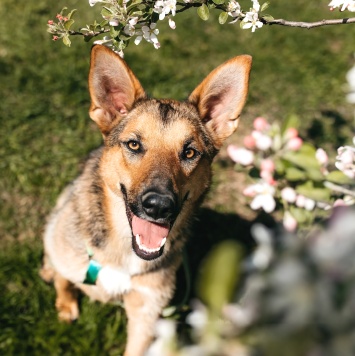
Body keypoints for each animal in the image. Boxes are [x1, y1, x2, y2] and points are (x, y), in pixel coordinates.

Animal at [41, 45, 253, 356]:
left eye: (190, 152)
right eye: (134, 144)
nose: (159, 206)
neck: (124, 252)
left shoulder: (147, 311)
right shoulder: (67, 255)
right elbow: (62, 279)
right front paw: (65, 303)